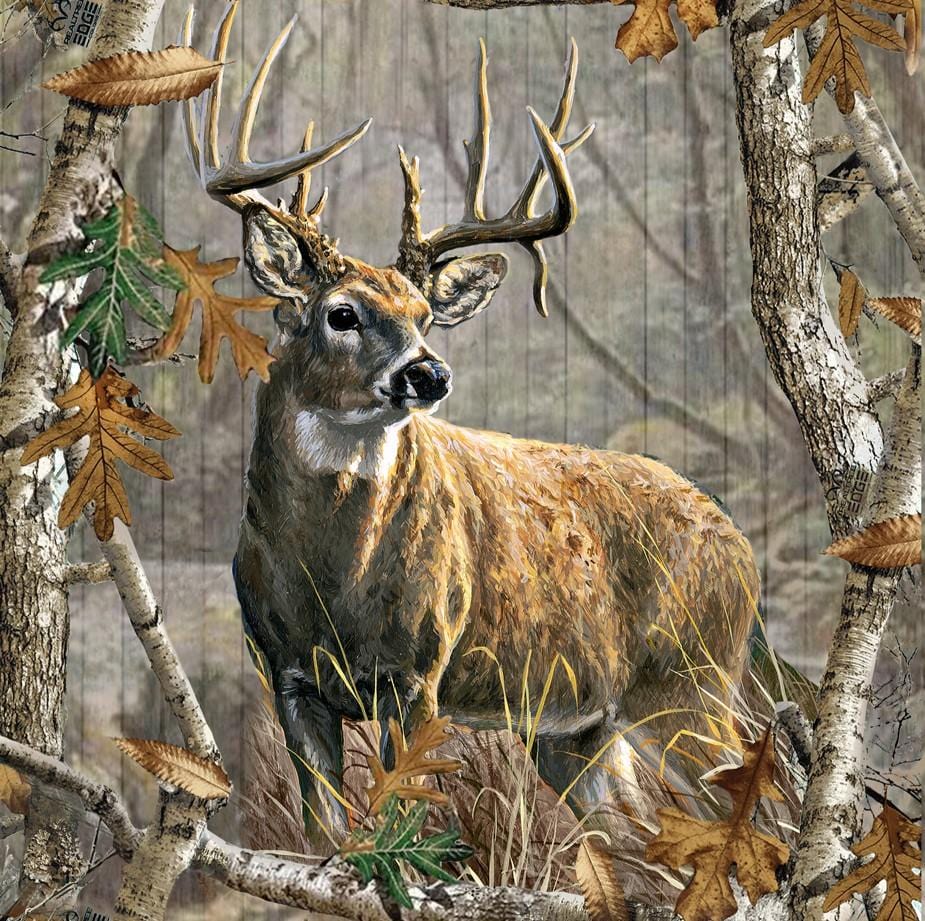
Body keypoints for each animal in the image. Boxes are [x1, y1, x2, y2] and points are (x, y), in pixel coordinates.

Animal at [183, 3, 759, 844]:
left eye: (424, 315)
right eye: (340, 313)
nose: (428, 372)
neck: (331, 584)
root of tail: (741, 546)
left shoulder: (420, 669)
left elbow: (403, 824)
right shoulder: (286, 677)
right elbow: (327, 837)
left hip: (690, 679)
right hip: (582, 727)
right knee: (631, 835)